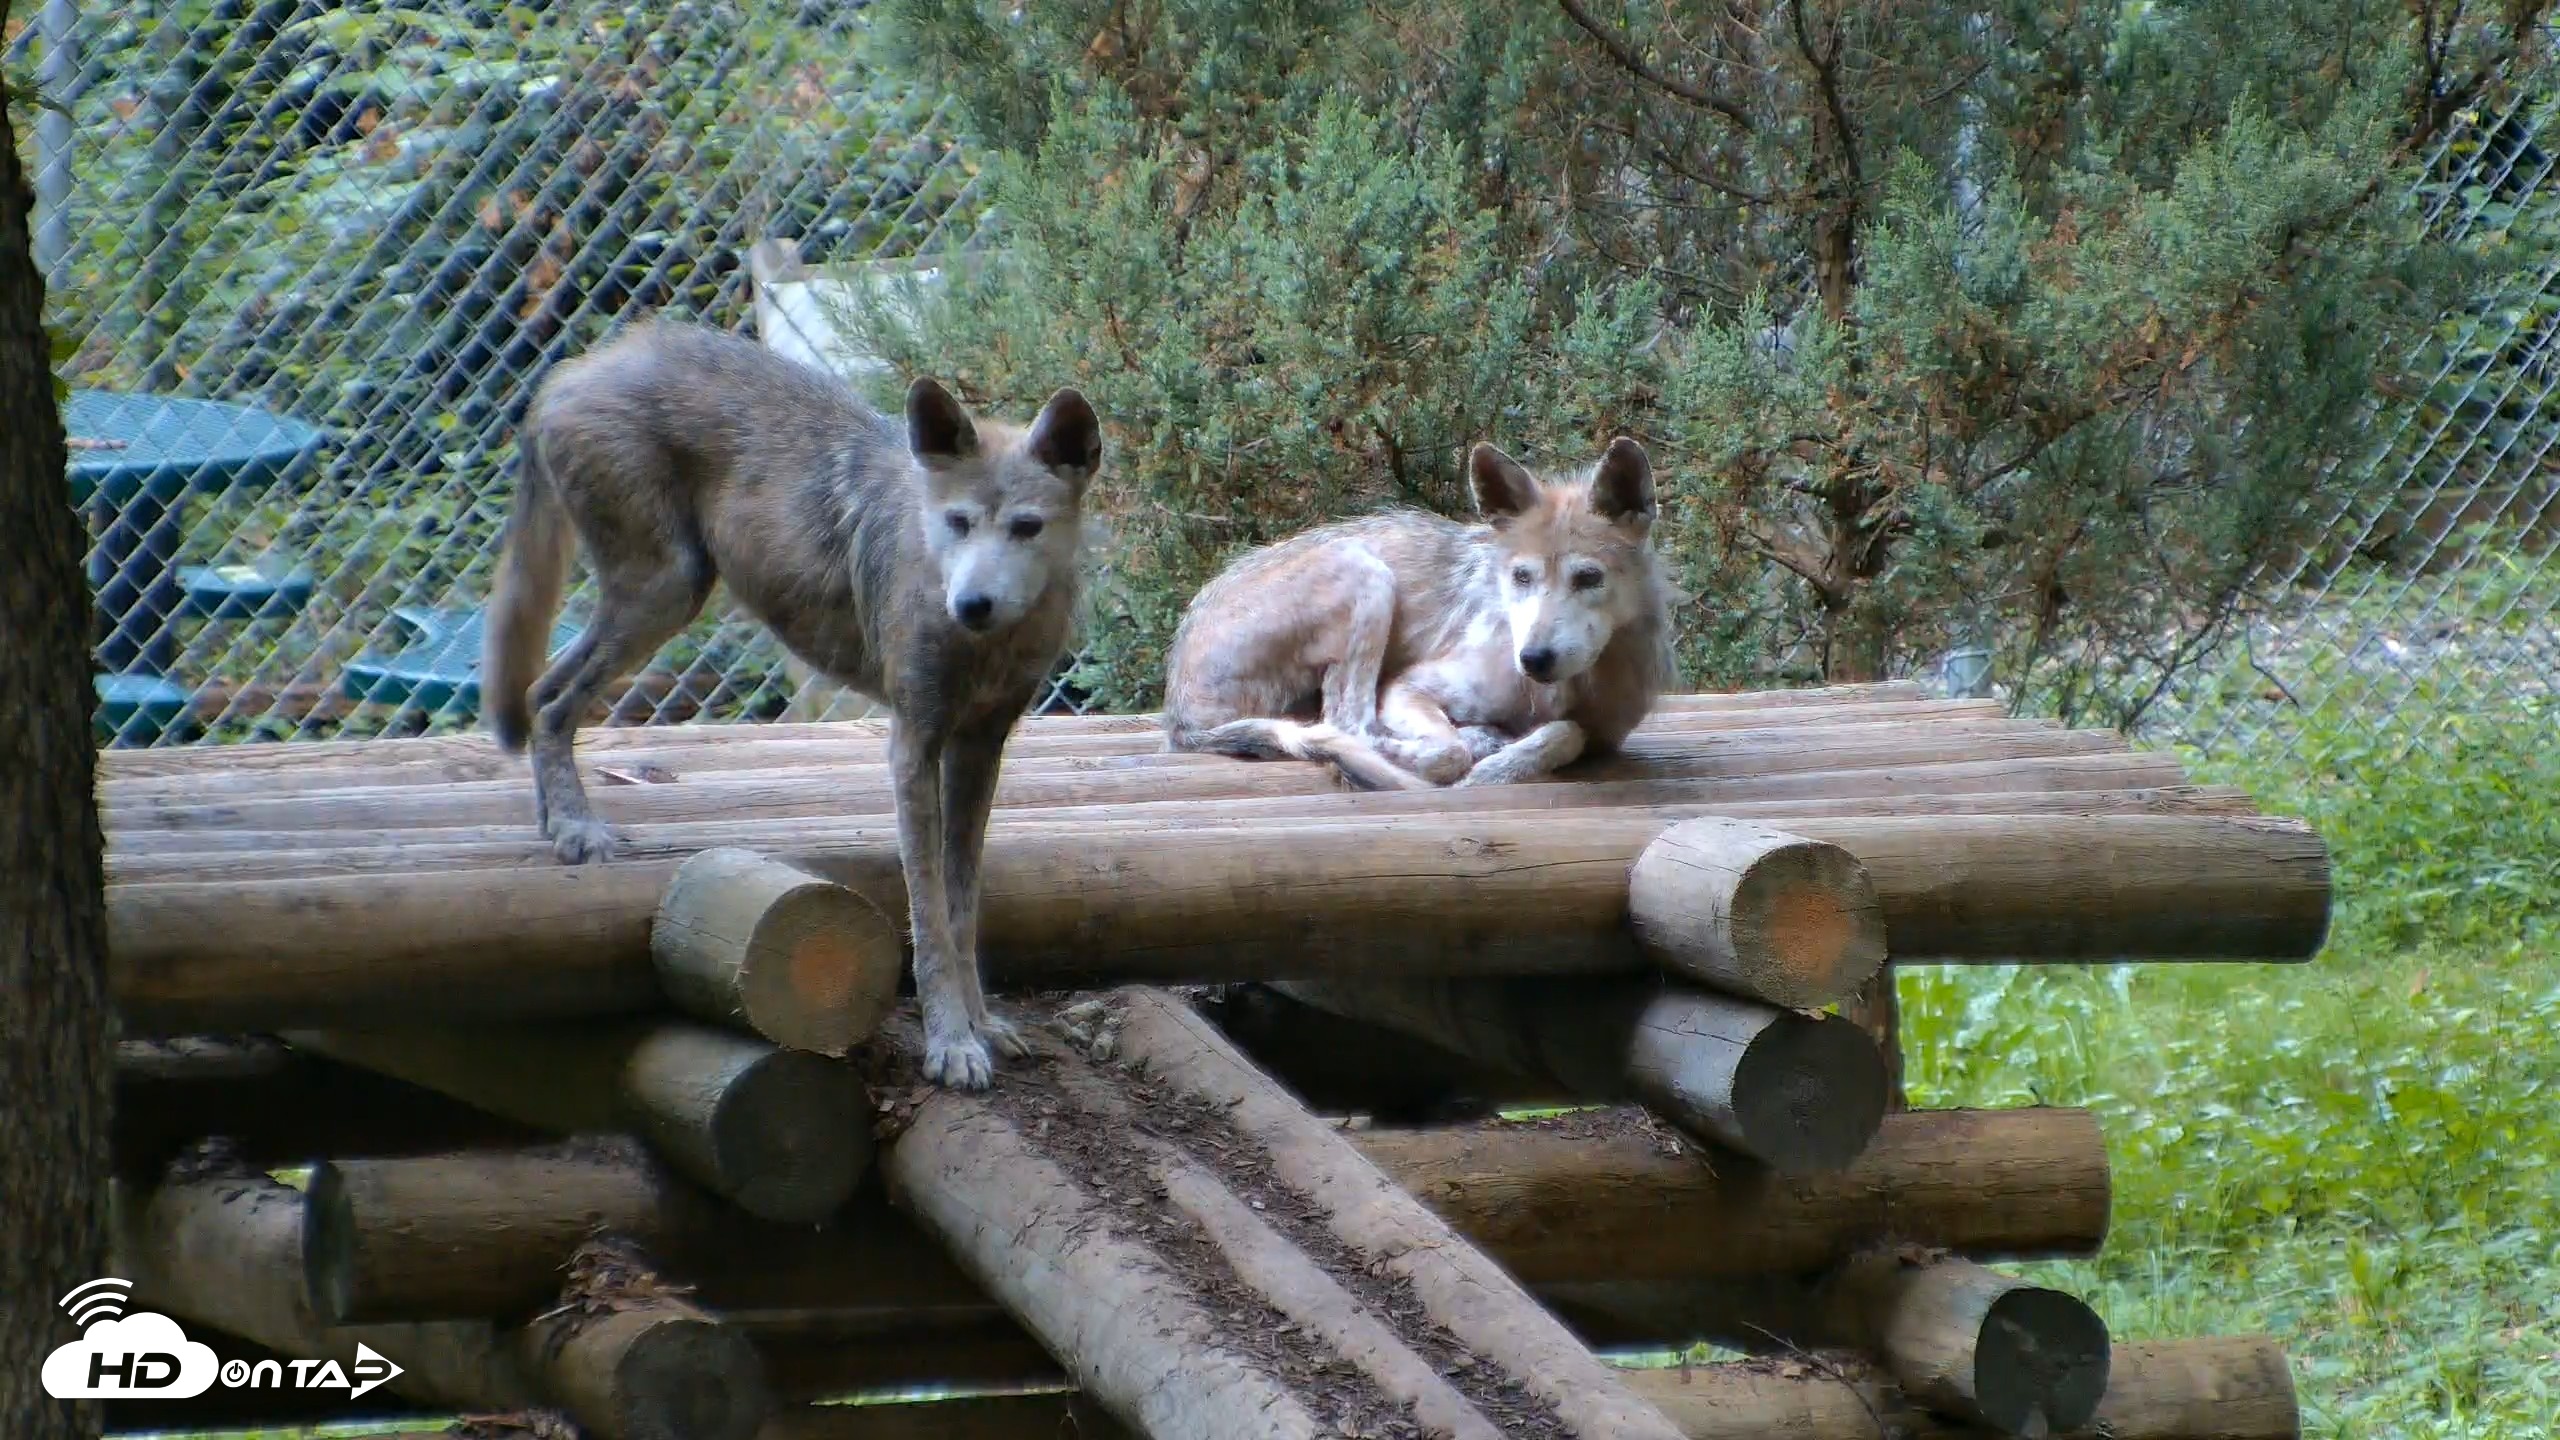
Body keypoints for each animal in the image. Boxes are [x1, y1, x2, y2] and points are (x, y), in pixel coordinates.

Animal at [480, 319, 1103, 1088]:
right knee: (548, 697)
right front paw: (950, 1044)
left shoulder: (979, 749)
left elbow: (962, 908)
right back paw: (574, 828)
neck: (986, 646)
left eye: (1026, 527)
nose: (972, 604)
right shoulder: (912, 746)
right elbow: (927, 914)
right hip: (668, 591)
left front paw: (981, 1026)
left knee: (540, 692)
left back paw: (555, 823)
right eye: (957, 524)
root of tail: (574, 369)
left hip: (661, 596)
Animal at [1161, 436, 1677, 790]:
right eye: (1521, 577)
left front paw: (1505, 757)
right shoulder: (1407, 686)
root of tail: (1177, 717)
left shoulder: (1600, 735)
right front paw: (1479, 758)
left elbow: (1567, 733)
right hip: (1366, 573)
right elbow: (1447, 751)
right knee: (1345, 723)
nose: (1532, 659)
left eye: (1588, 578)